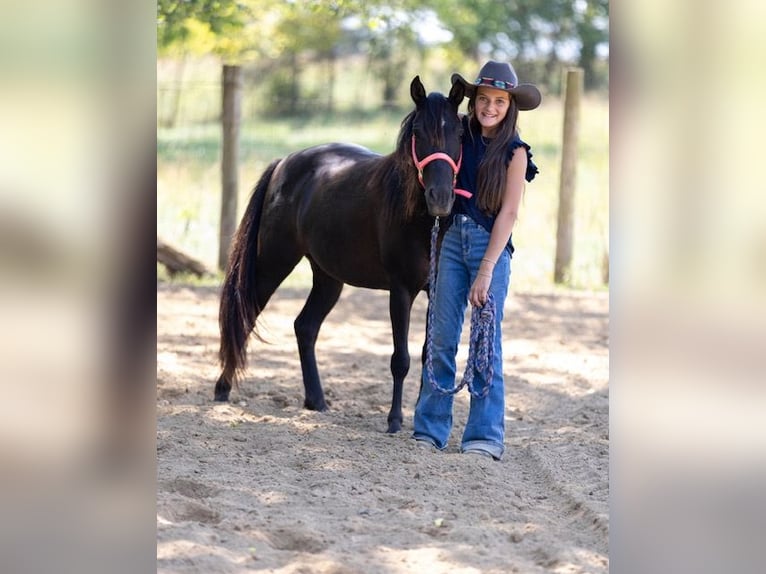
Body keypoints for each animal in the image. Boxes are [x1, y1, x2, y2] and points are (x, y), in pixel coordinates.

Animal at [214, 76, 465, 433]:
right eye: (418, 132)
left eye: (459, 132)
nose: (440, 198)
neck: (420, 221)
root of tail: (284, 163)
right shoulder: (401, 291)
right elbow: (400, 359)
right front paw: (394, 420)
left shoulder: (436, 290)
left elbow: (426, 355)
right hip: (273, 264)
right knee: (245, 316)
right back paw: (222, 389)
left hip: (328, 278)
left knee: (305, 327)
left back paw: (316, 401)